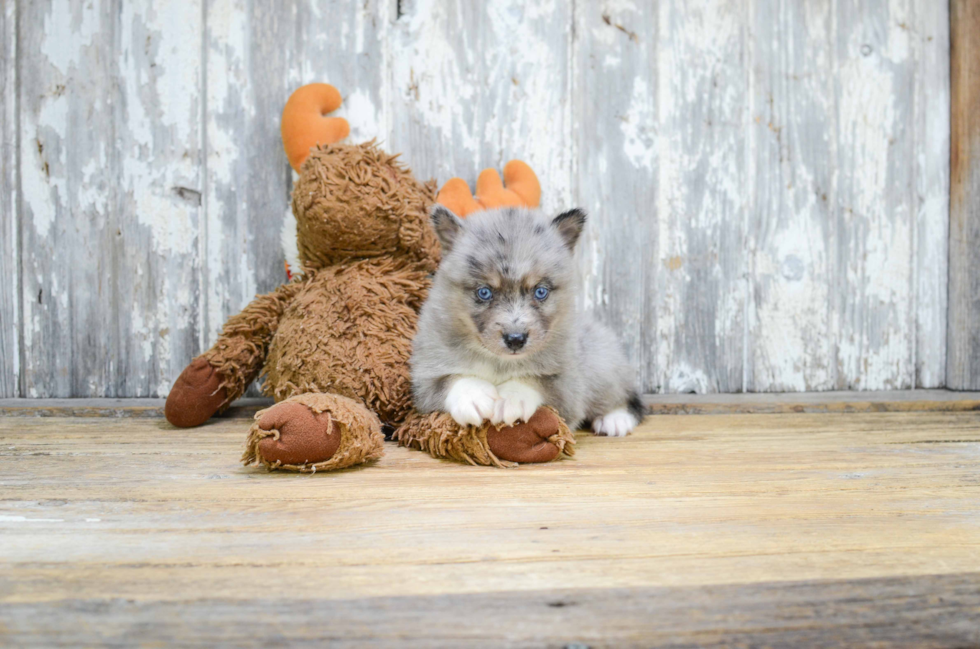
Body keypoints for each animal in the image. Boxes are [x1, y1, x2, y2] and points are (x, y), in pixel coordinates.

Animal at [412, 206, 648, 436]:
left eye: (540, 291)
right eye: (484, 292)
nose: (515, 339)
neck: (499, 363)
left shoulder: (568, 386)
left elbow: (536, 380)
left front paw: (510, 398)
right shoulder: (423, 380)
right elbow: (451, 379)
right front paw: (474, 396)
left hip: (601, 364)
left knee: (625, 395)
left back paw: (615, 420)